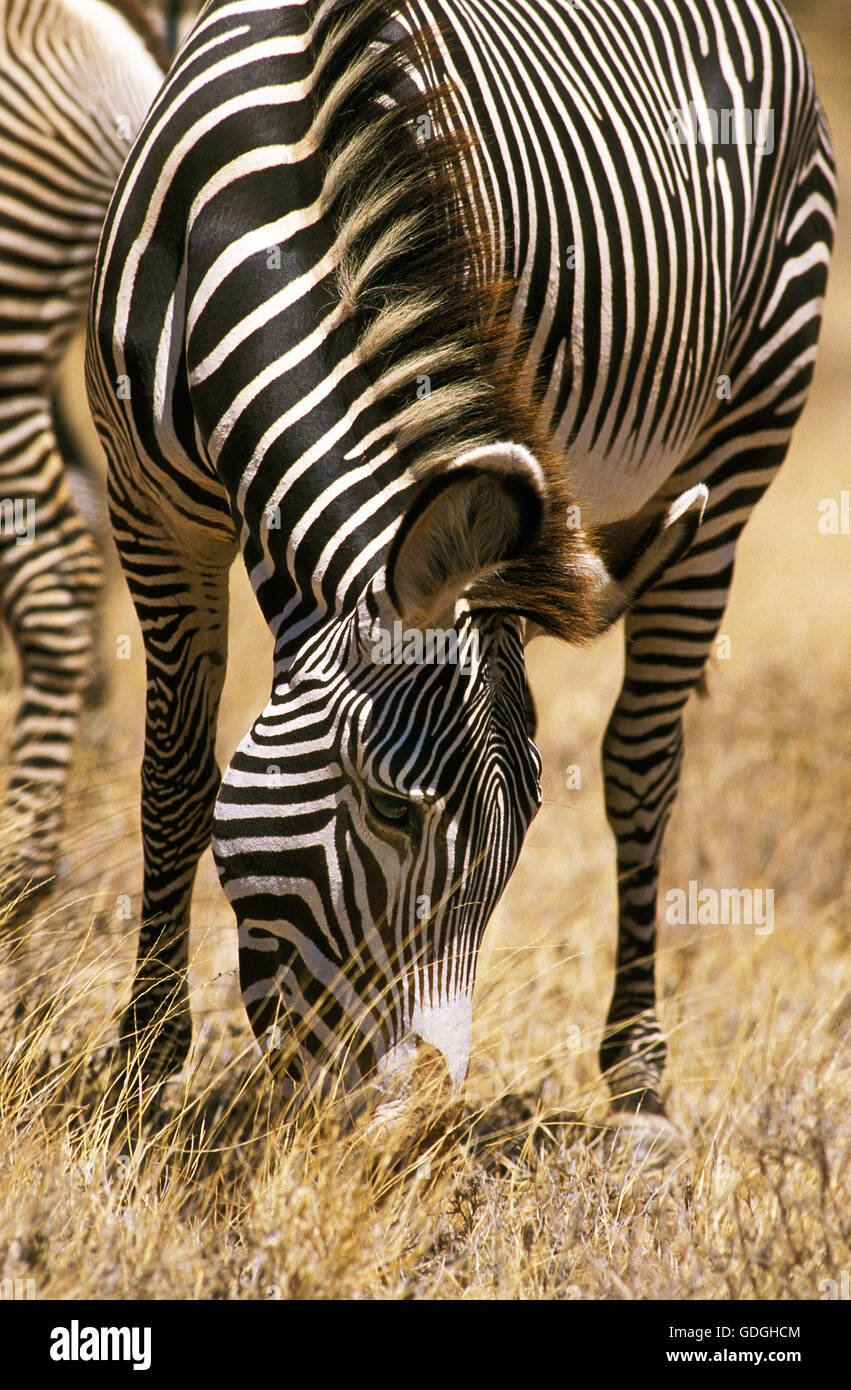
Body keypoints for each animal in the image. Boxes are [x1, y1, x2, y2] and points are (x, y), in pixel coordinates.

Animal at [84, 0, 828, 1123]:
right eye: (394, 808)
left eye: (520, 830)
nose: (415, 1110)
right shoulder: (148, 512)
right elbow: (173, 771)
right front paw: (143, 1060)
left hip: (740, 441)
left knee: (642, 762)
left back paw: (639, 1082)